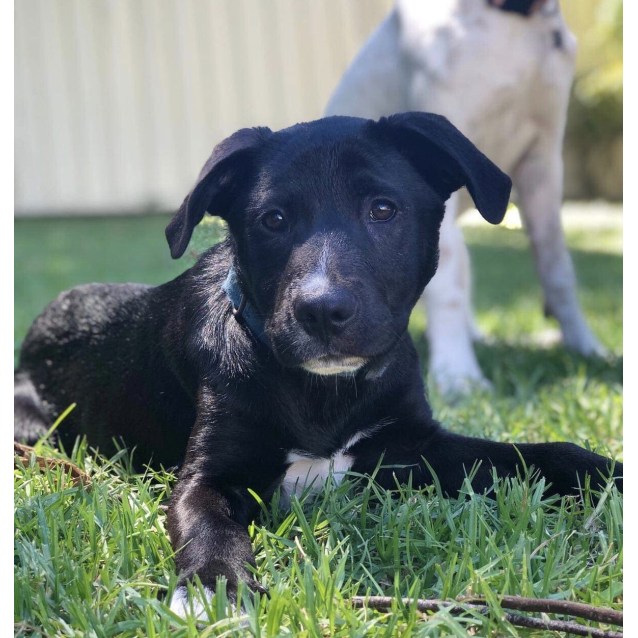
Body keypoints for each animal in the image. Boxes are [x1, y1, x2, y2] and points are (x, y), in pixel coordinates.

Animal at [15, 112, 624, 616]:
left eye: (383, 209)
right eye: (272, 219)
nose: (322, 310)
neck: (324, 392)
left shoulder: (413, 446)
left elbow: (544, 454)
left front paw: (610, 473)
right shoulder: (207, 476)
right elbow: (209, 526)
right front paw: (217, 589)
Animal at [328, 0, 608, 398]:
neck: (508, 20)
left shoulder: (544, 161)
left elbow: (557, 267)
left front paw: (584, 346)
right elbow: (448, 281)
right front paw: (458, 373)